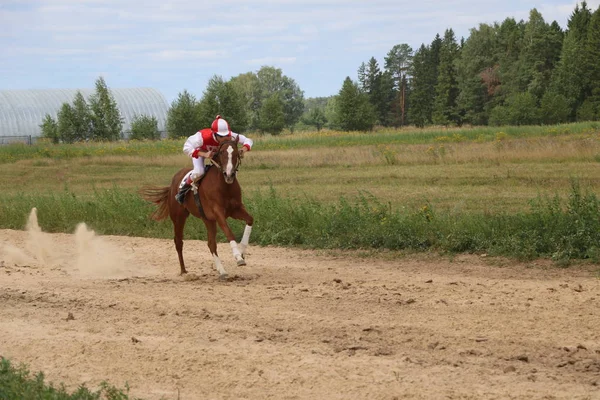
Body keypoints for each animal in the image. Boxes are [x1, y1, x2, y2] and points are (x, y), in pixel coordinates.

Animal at [140, 136, 253, 280]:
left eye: (236, 153)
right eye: (222, 152)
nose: (229, 174)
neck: (224, 186)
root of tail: (173, 183)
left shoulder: (235, 209)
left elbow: (250, 220)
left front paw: (242, 251)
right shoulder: (218, 212)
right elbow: (228, 232)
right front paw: (238, 257)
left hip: (207, 219)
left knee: (211, 244)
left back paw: (222, 271)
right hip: (179, 217)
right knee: (178, 241)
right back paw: (183, 270)